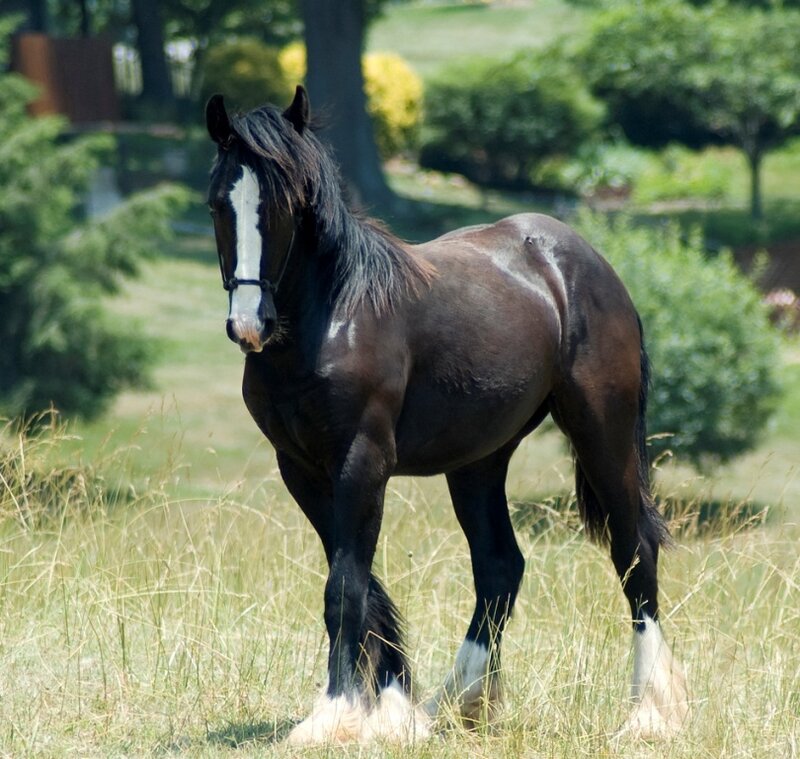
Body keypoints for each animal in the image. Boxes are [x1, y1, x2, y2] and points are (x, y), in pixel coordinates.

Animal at [205, 86, 688, 745]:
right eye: (217, 204)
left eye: (287, 203)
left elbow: (345, 586)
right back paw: (461, 701)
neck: (333, 317)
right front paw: (391, 707)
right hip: (480, 461)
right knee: (500, 566)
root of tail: (585, 263)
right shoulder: (301, 468)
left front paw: (334, 712)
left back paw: (648, 712)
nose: (249, 325)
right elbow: (359, 581)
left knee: (634, 552)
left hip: (601, 433)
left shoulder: (361, 461)